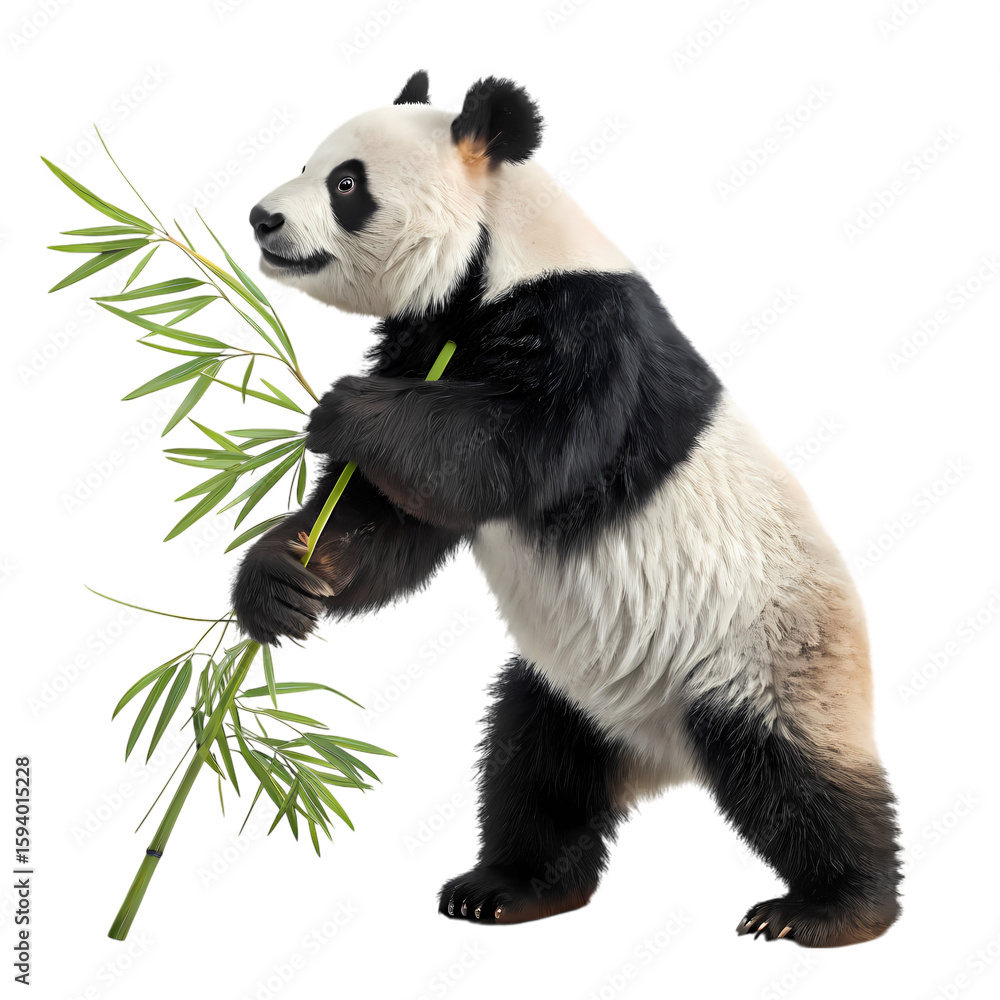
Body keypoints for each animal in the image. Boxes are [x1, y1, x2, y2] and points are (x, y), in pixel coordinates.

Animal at [233, 71, 902, 947]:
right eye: (308, 164)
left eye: (346, 184)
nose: (262, 218)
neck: (493, 259)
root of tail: (662, 753)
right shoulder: (430, 336)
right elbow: (389, 520)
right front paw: (286, 580)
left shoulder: (585, 329)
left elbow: (515, 452)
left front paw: (348, 410)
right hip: (575, 691)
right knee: (535, 767)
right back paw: (511, 887)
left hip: (763, 653)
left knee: (794, 775)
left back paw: (833, 907)